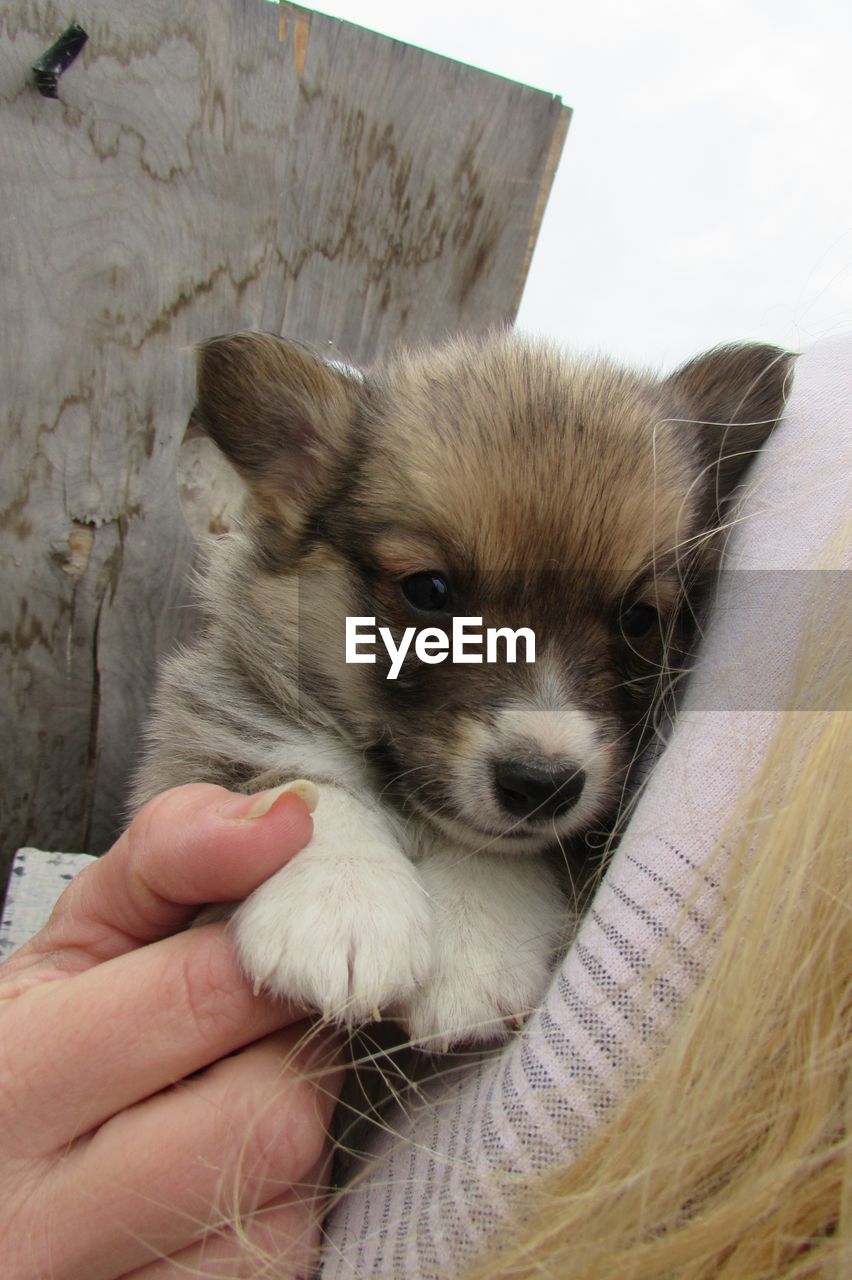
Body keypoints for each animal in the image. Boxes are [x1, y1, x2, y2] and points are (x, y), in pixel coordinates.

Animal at [133, 330, 788, 1049]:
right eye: (428, 589)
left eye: (640, 619)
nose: (543, 785)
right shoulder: (221, 704)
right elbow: (299, 774)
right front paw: (340, 900)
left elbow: (503, 850)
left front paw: (474, 944)